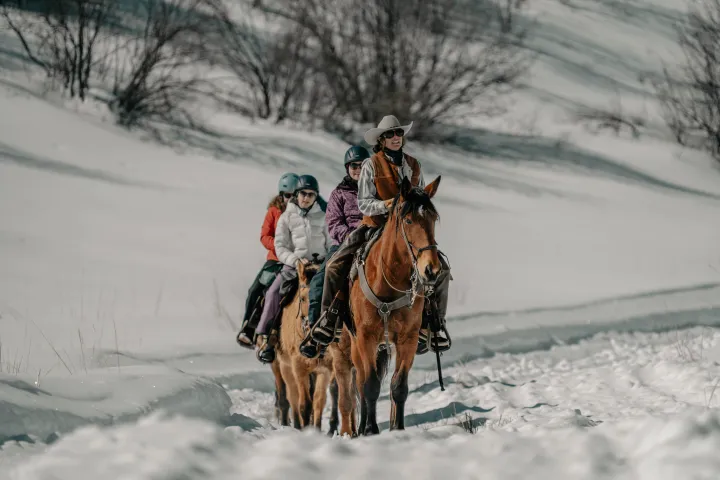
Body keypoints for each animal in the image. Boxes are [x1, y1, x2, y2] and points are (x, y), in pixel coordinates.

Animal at [273, 259, 340, 433]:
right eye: (302, 299)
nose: (313, 330)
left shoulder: (324, 370)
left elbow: (318, 402)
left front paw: (315, 430)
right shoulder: (299, 368)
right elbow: (304, 404)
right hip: (285, 367)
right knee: (292, 396)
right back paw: (296, 425)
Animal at [330, 175, 443, 436]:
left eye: (434, 219)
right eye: (409, 220)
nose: (431, 270)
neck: (388, 280)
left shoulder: (407, 339)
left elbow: (399, 386)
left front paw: (397, 428)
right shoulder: (366, 337)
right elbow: (369, 385)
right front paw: (371, 430)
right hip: (352, 347)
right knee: (358, 383)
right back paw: (360, 427)